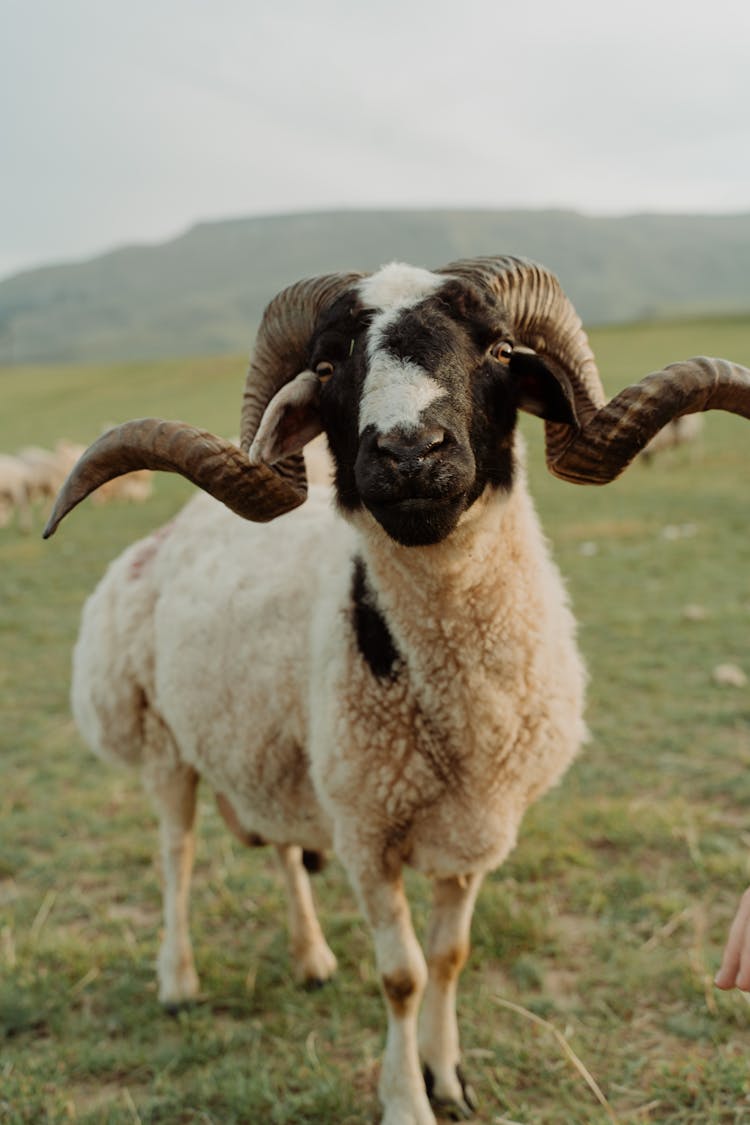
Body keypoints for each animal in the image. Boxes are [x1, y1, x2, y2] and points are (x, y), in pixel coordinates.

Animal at [44, 257, 750, 1125]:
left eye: (498, 350)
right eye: (327, 365)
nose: (410, 451)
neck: (457, 705)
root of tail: (169, 534)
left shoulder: (476, 831)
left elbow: (449, 957)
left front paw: (449, 1074)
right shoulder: (366, 833)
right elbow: (403, 975)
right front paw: (407, 1098)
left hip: (282, 753)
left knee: (282, 844)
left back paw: (311, 958)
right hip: (164, 745)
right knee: (176, 853)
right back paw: (178, 980)